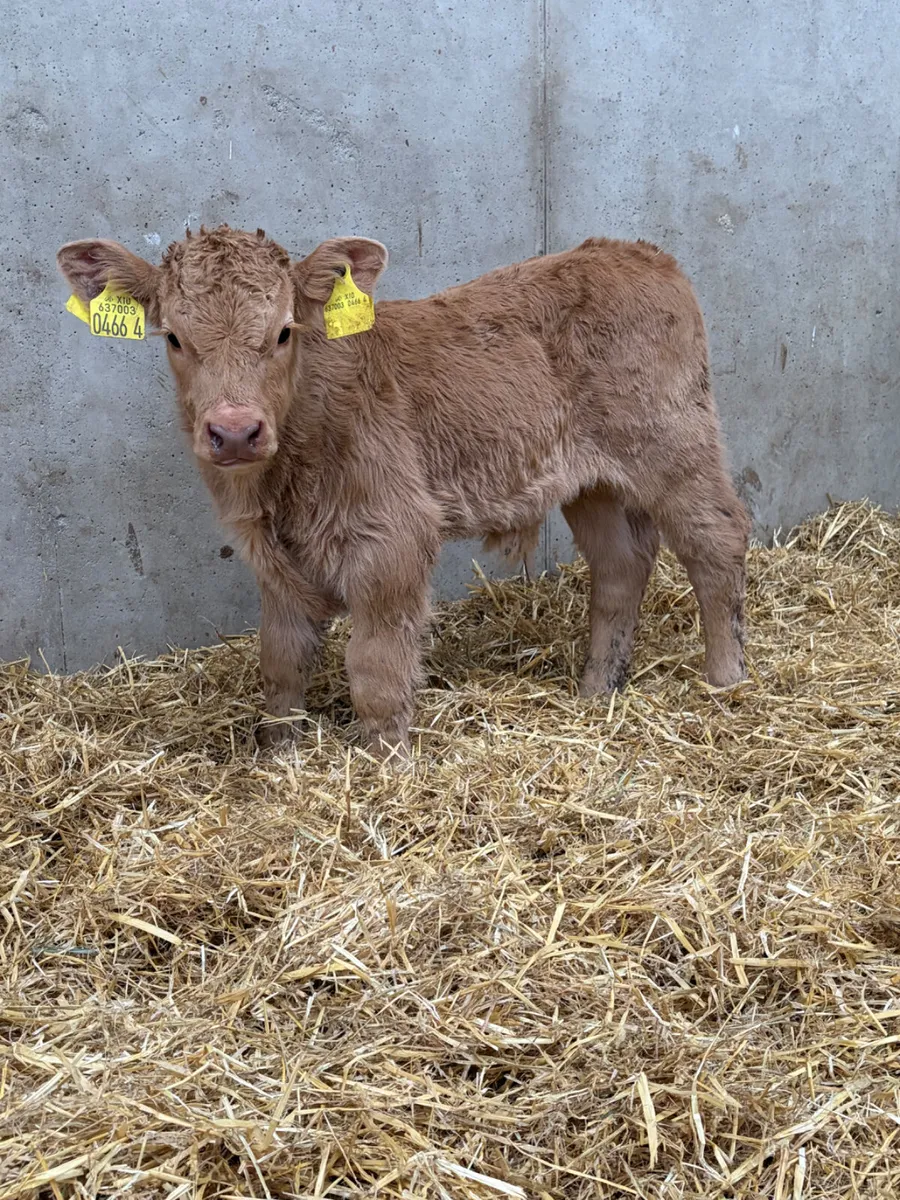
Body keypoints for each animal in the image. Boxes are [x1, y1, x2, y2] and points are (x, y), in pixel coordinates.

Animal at [57, 227, 750, 757]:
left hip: (675, 441)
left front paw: (386, 765)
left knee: (717, 541)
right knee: (620, 566)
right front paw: (278, 756)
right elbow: (279, 663)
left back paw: (726, 681)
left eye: (283, 332)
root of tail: (636, 252)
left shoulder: (393, 538)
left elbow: (376, 671)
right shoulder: (272, 558)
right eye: (174, 337)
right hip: (593, 480)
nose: (233, 430)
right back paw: (597, 690)